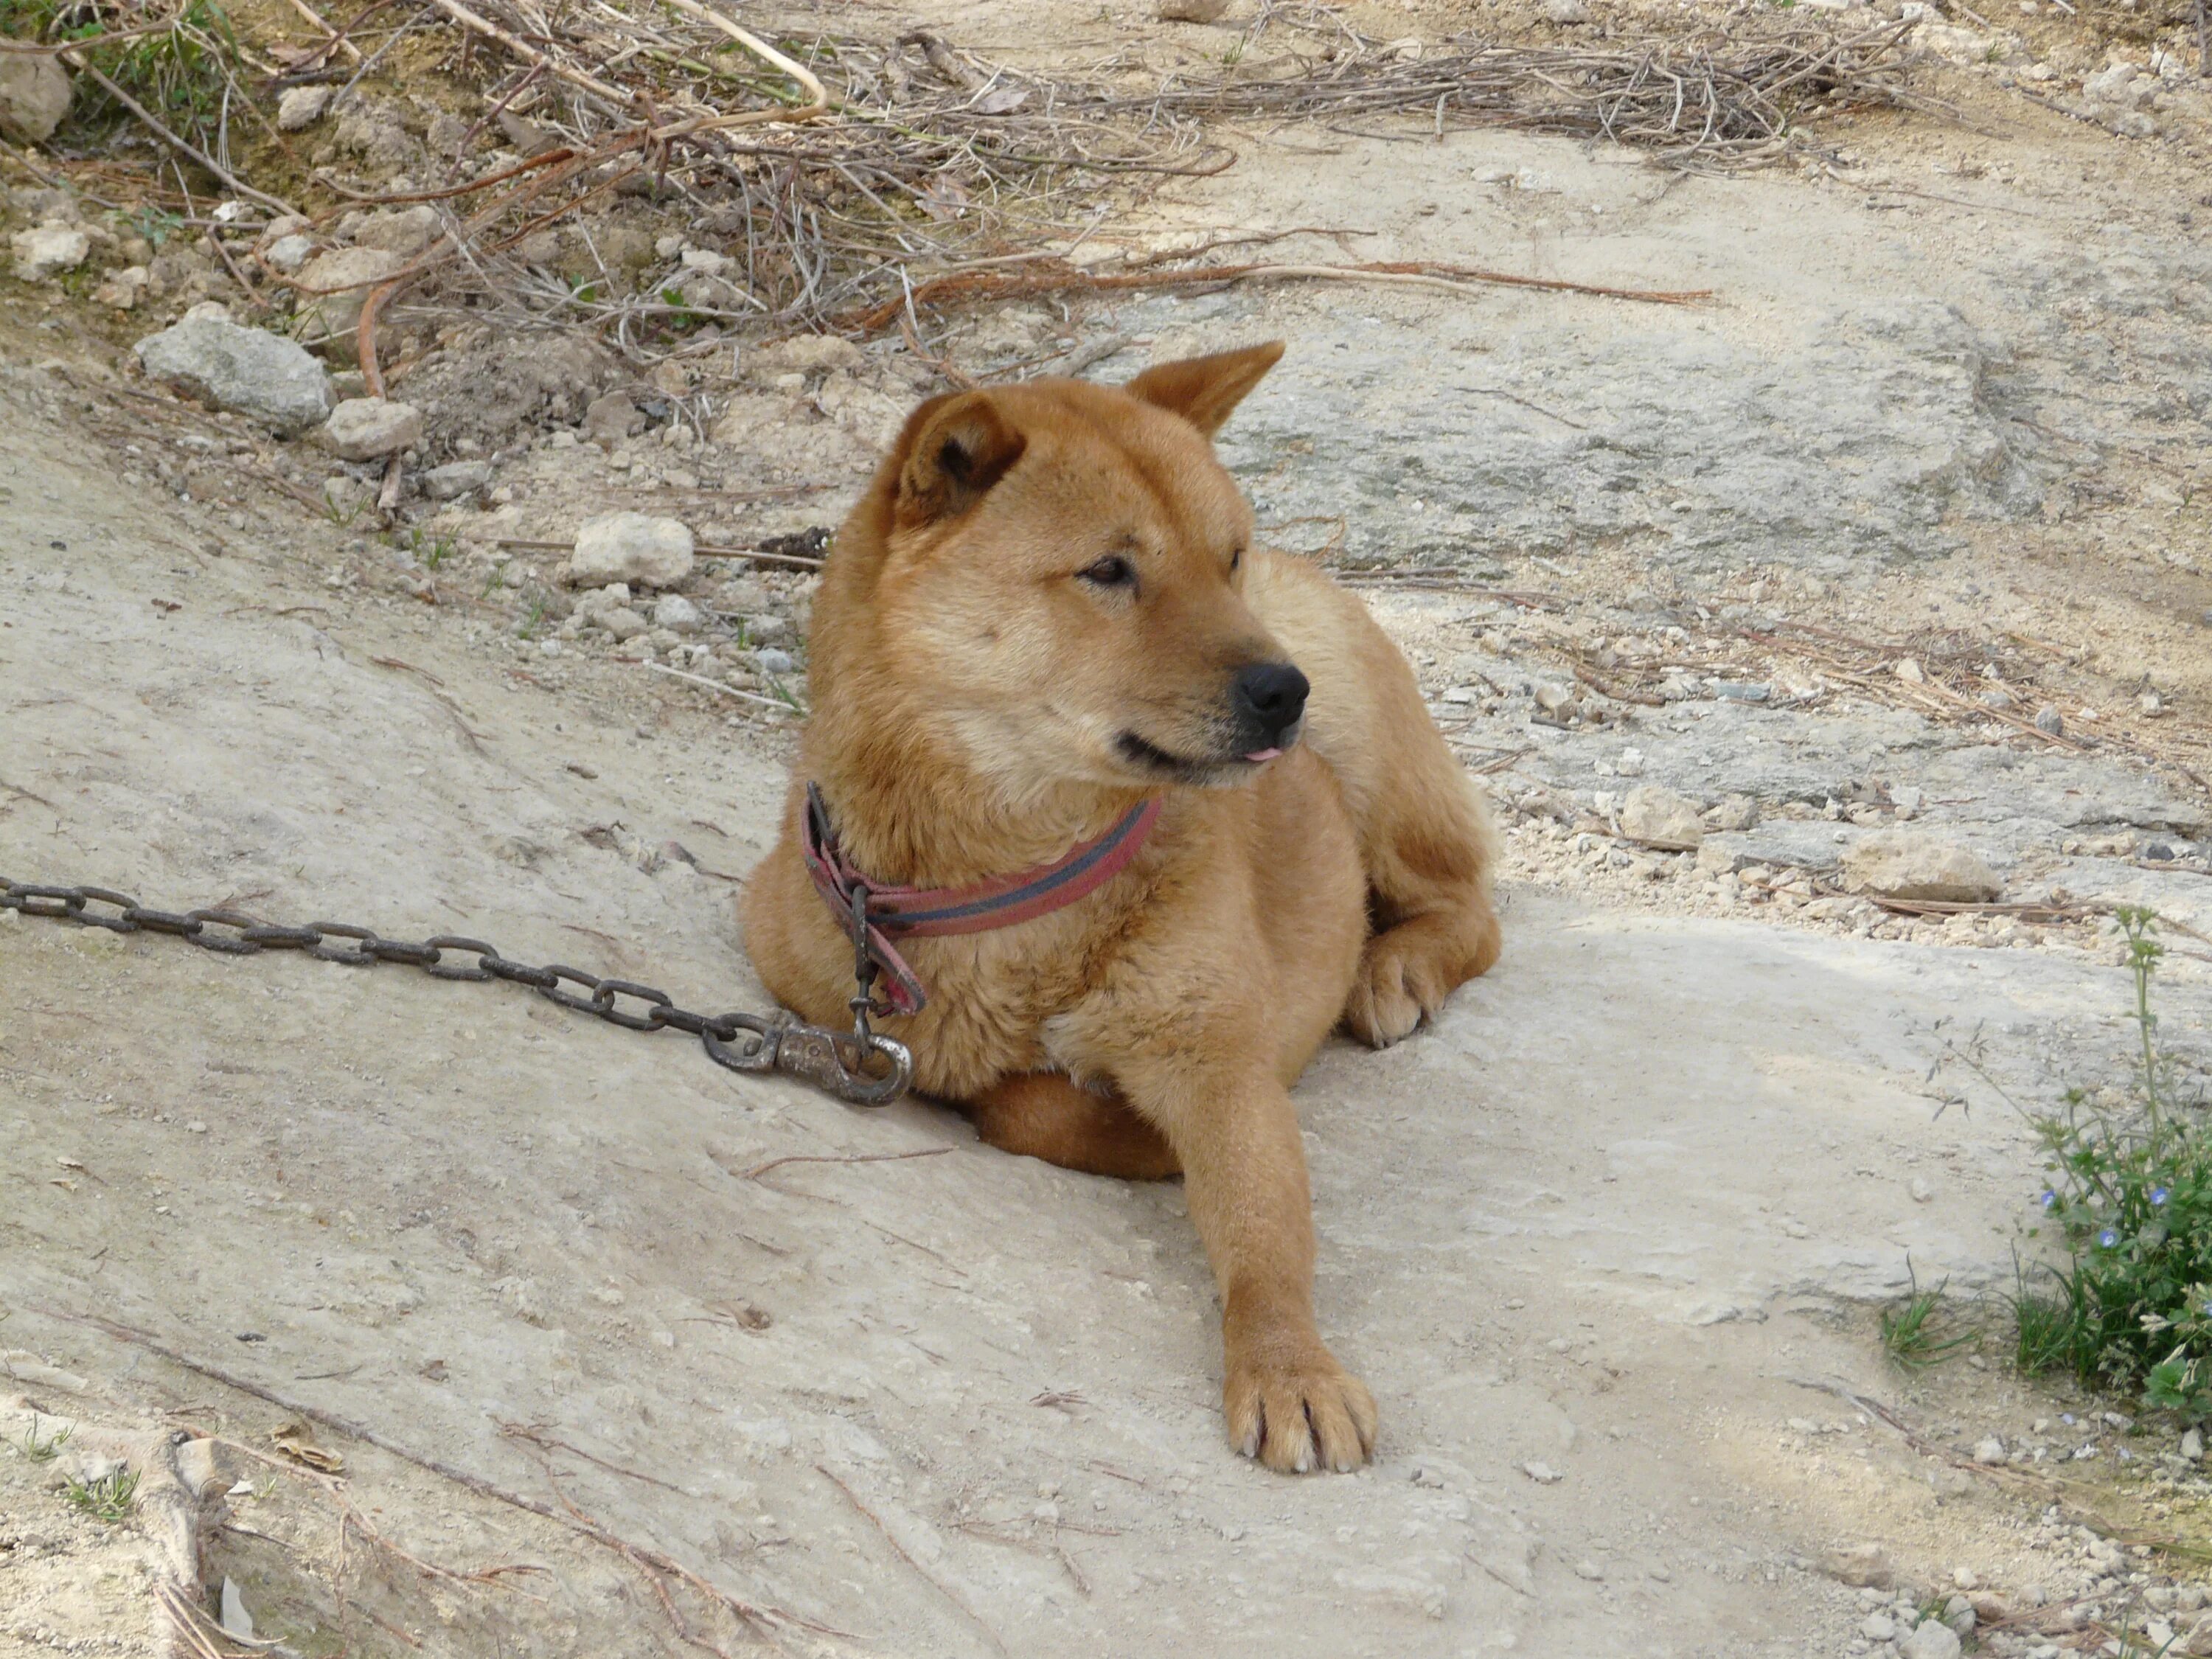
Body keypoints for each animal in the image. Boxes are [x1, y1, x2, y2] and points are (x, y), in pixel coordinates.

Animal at [743, 345, 1504, 1478]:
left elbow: (1264, 1235)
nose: (1285, 691)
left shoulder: (1223, 1070)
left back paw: (1393, 968)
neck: (1015, 878)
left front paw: (1288, 1363)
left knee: (1470, 903)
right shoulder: (797, 968)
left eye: (1225, 559)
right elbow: (1022, 1098)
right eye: (1109, 571)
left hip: (1371, 763)